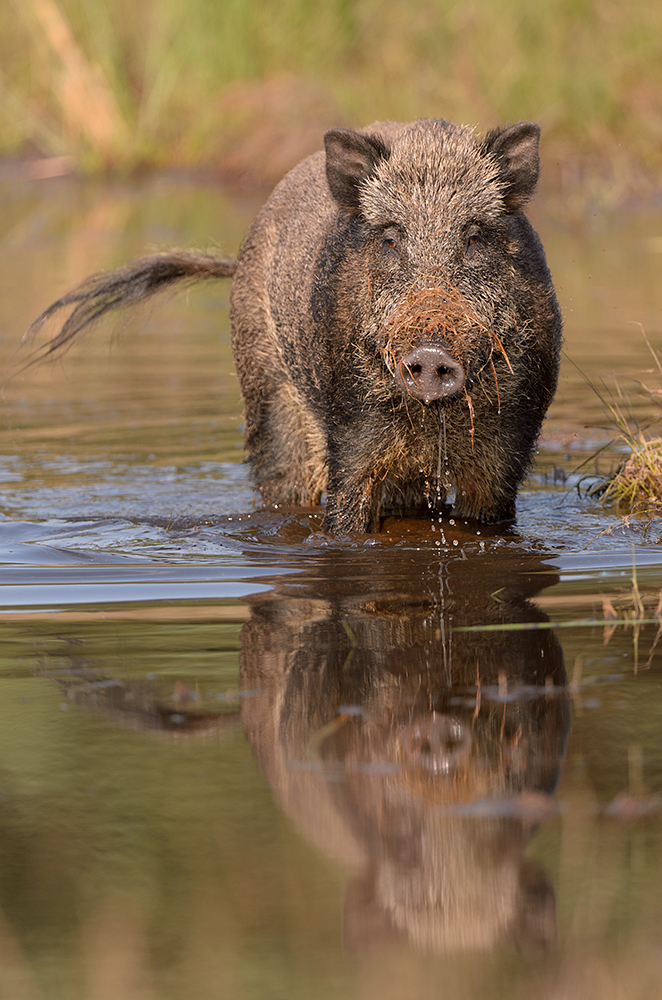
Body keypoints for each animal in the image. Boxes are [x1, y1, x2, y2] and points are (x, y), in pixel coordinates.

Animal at [27, 118, 562, 533]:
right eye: (390, 238)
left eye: (474, 236)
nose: (430, 354)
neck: (434, 422)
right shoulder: (353, 432)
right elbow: (344, 519)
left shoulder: (507, 453)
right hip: (268, 396)